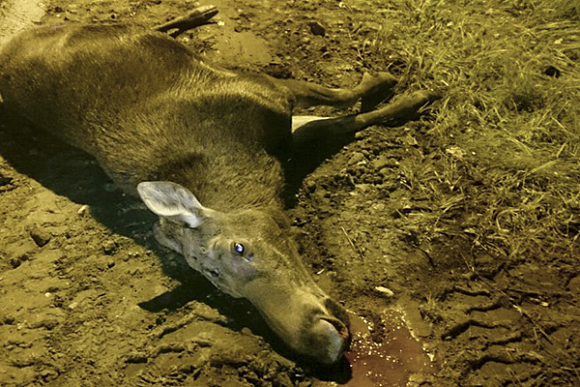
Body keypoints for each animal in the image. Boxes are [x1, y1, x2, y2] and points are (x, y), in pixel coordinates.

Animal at [0, 5, 436, 364]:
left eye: (240, 248)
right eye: (213, 278)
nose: (318, 342)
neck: (253, 168)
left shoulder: (269, 90)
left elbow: (343, 95)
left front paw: (401, 84)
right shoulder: (279, 125)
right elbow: (345, 120)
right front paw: (410, 95)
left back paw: (198, 12)